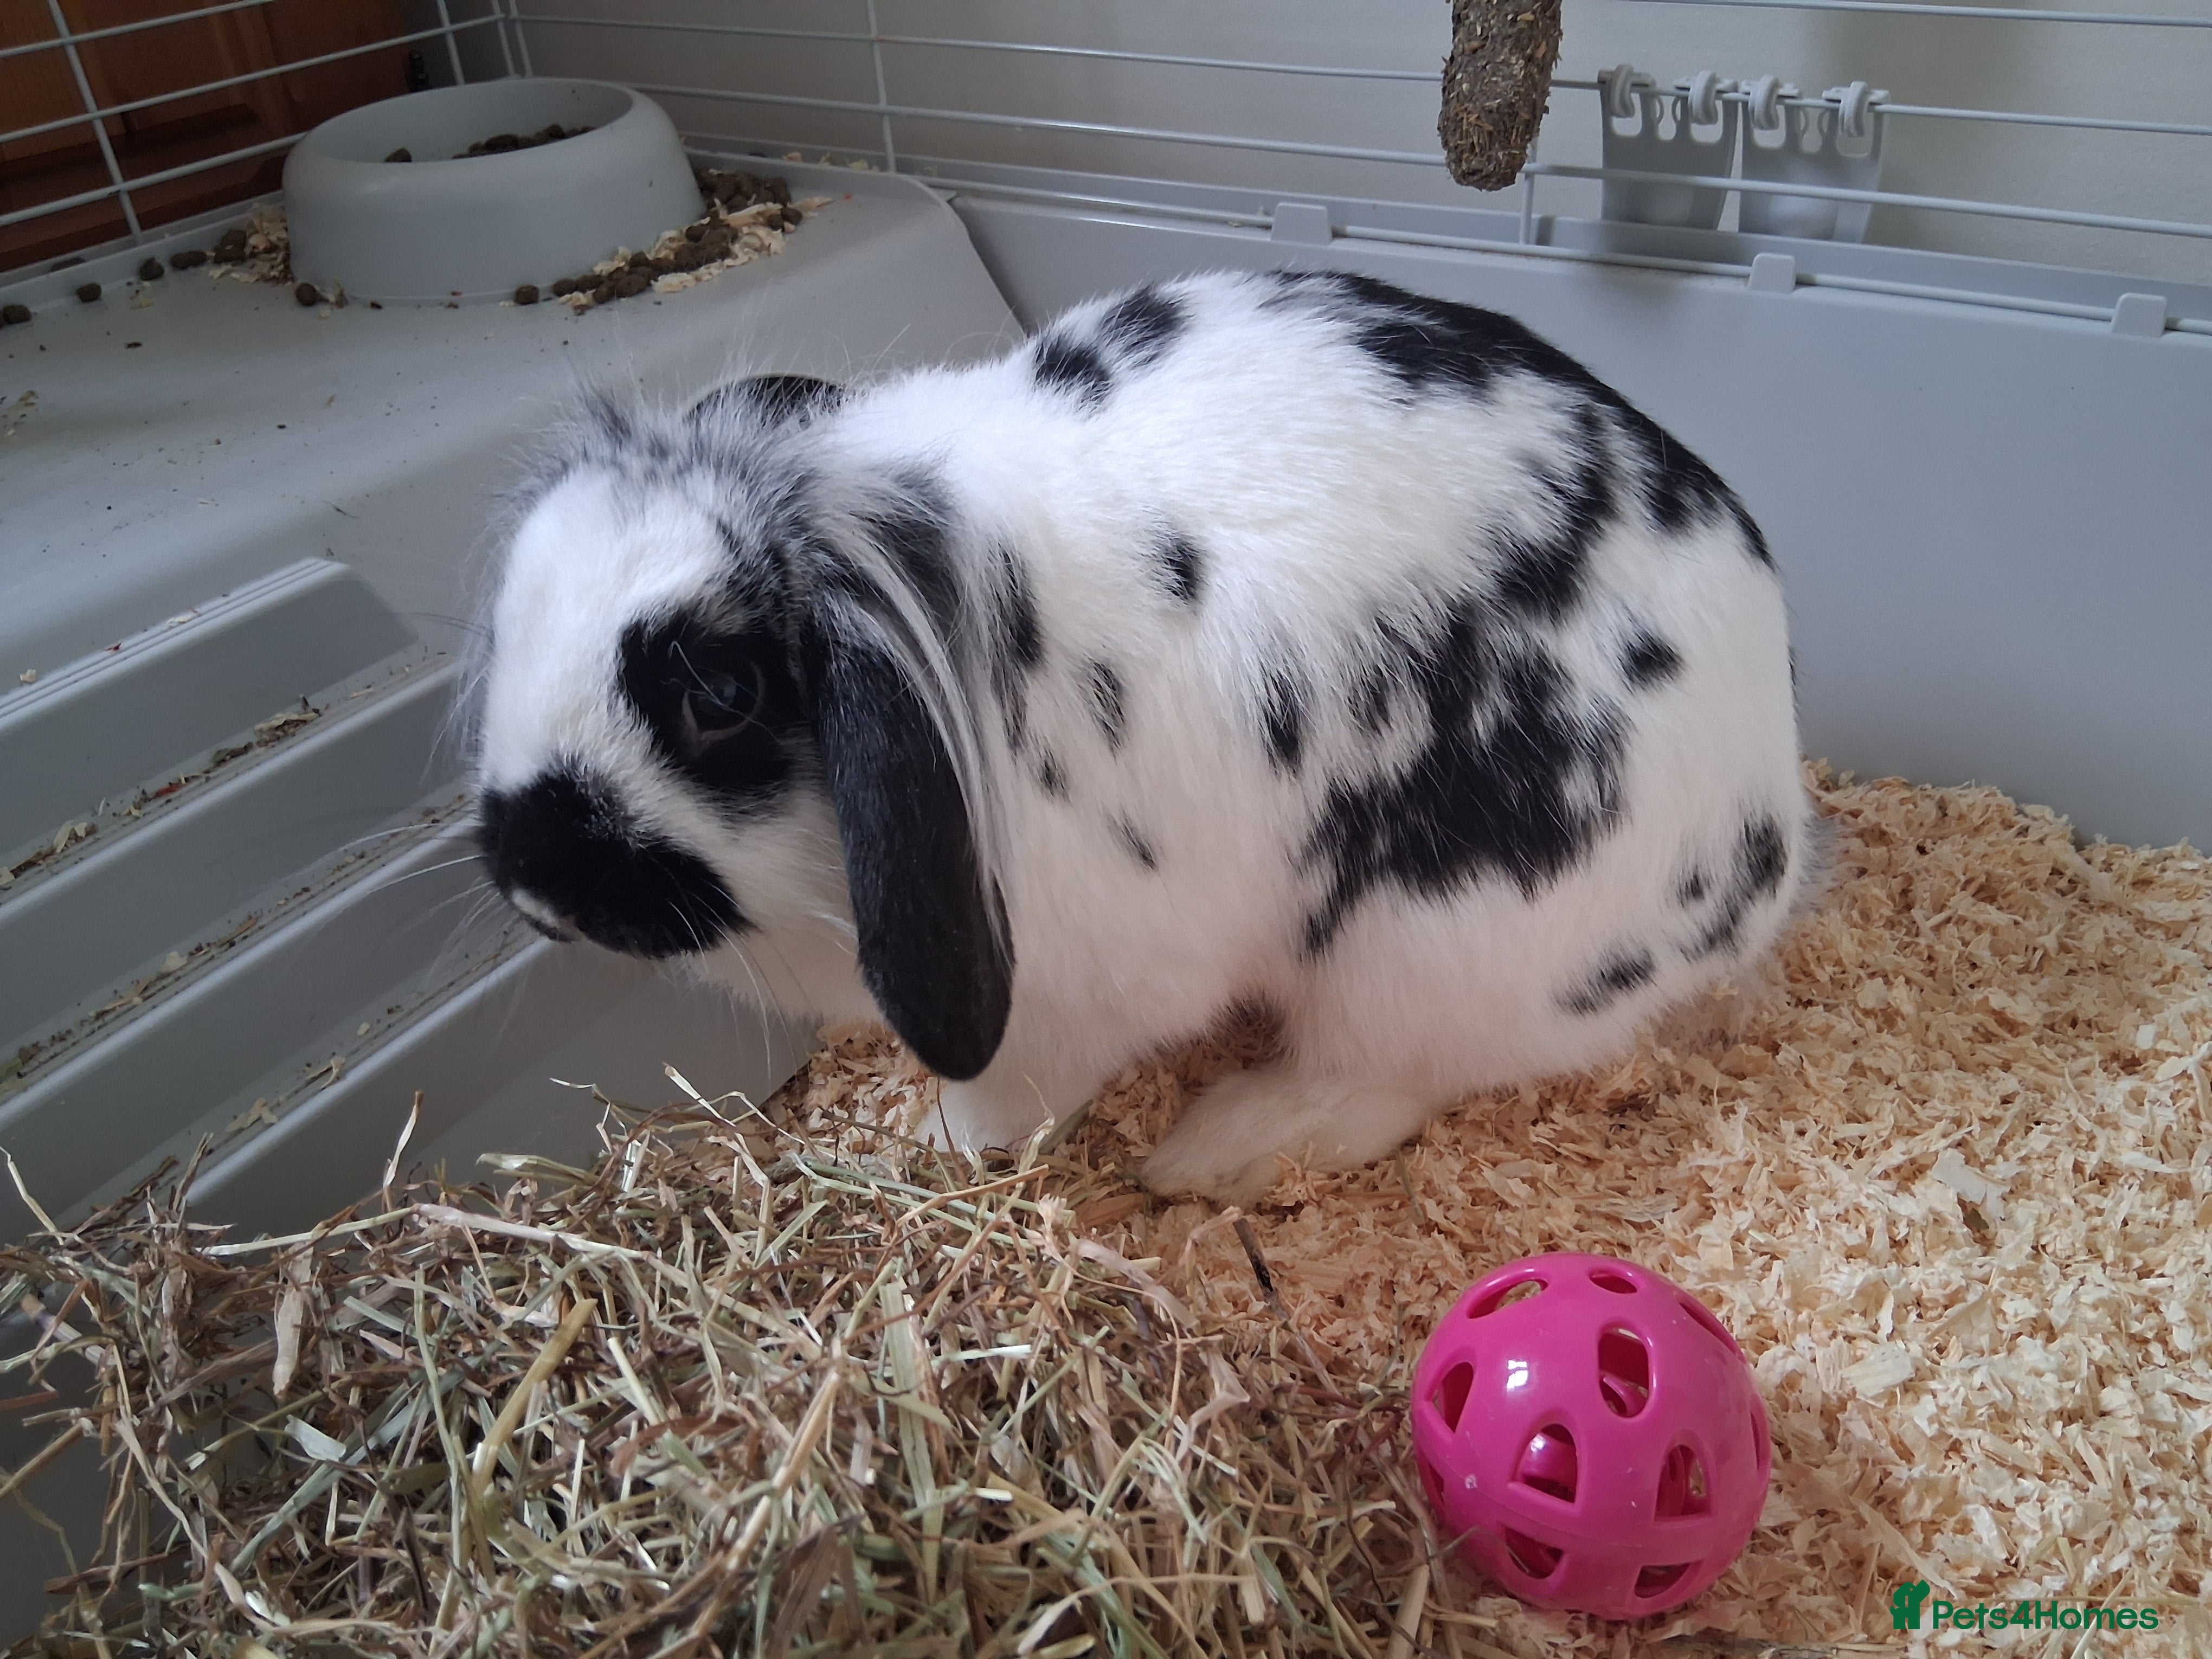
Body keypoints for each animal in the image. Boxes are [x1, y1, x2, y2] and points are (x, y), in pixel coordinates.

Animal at [472, 268, 1810, 1205]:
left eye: (721, 694)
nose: (529, 884)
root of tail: (1774, 848)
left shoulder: (1074, 996)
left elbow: (1014, 1096)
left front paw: (928, 1146)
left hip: (1425, 948)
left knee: (1383, 1079)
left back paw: (1213, 1153)